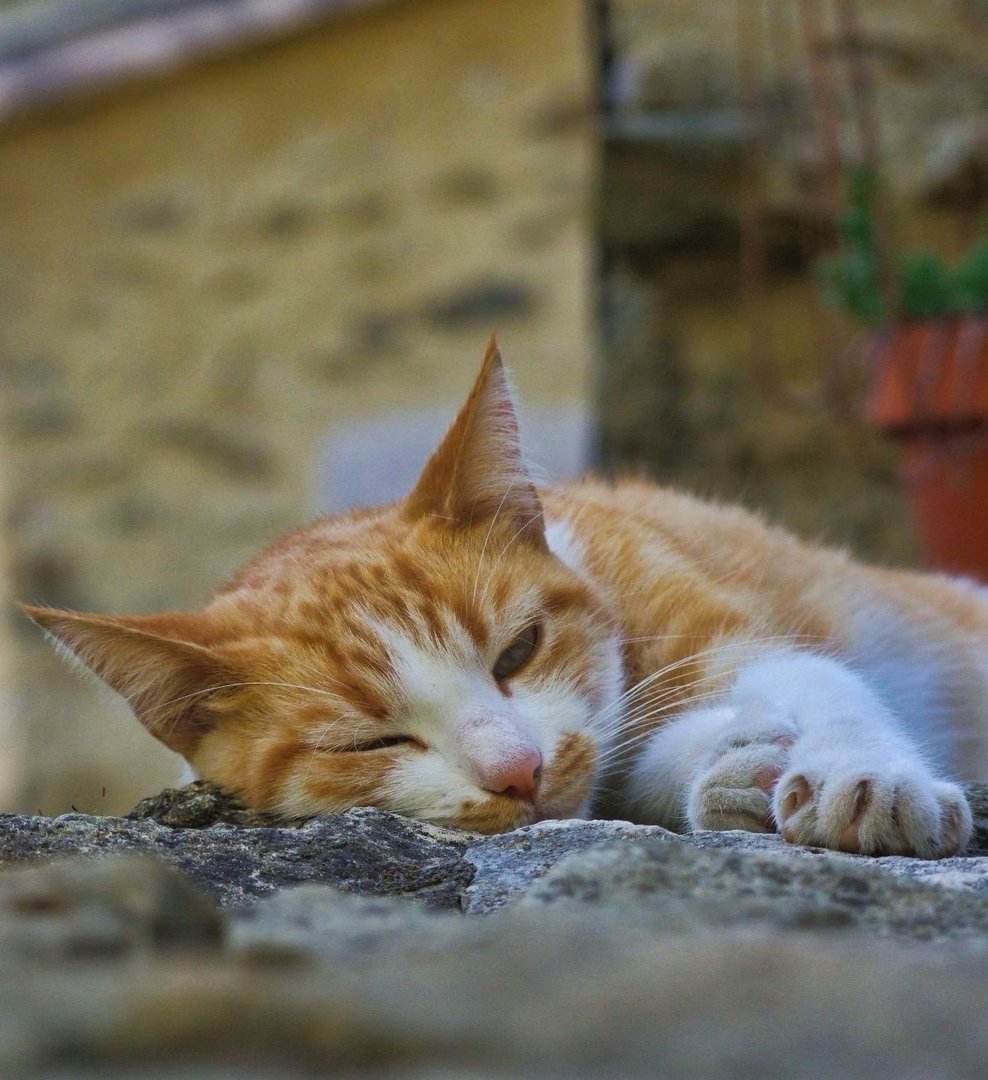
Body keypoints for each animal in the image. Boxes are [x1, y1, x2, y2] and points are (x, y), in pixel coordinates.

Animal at [23, 336, 988, 851]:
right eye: (369, 742)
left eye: (518, 651)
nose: (519, 771)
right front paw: (730, 775)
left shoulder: (722, 632)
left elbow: (817, 682)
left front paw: (858, 773)